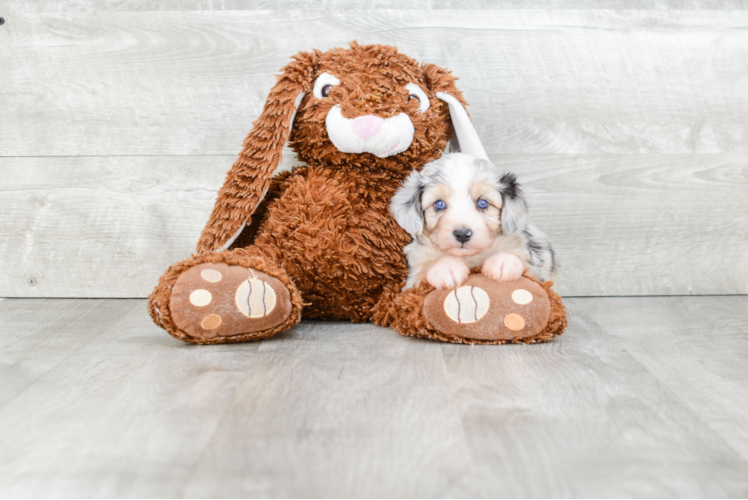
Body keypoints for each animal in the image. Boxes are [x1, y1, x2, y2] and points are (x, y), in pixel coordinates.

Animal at [392, 152, 556, 290]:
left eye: (482, 203)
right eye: (439, 204)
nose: (462, 234)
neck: (469, 257)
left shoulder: (533, 267)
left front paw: (503, 262)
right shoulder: (411, 281)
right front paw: (445, 267)